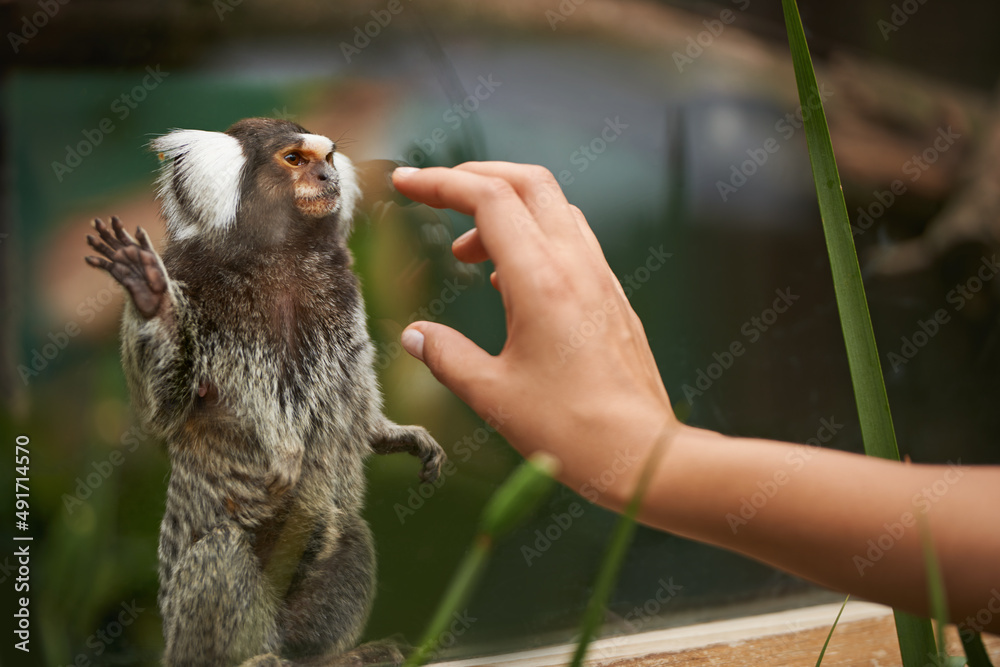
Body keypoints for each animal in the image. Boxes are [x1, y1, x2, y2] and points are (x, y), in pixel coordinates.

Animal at [86, 118, 446, 667]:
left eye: (328, 159)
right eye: (294, 160)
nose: (326, 177)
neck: (281, 254)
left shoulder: (344, 298)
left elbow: (355, 399)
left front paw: (395, 434)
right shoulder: (191, 280)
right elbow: (164, 408)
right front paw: (150, 296)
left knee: (349, 534)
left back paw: (330, 656)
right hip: (192, 627)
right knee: (223, 551)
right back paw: (251, 659)